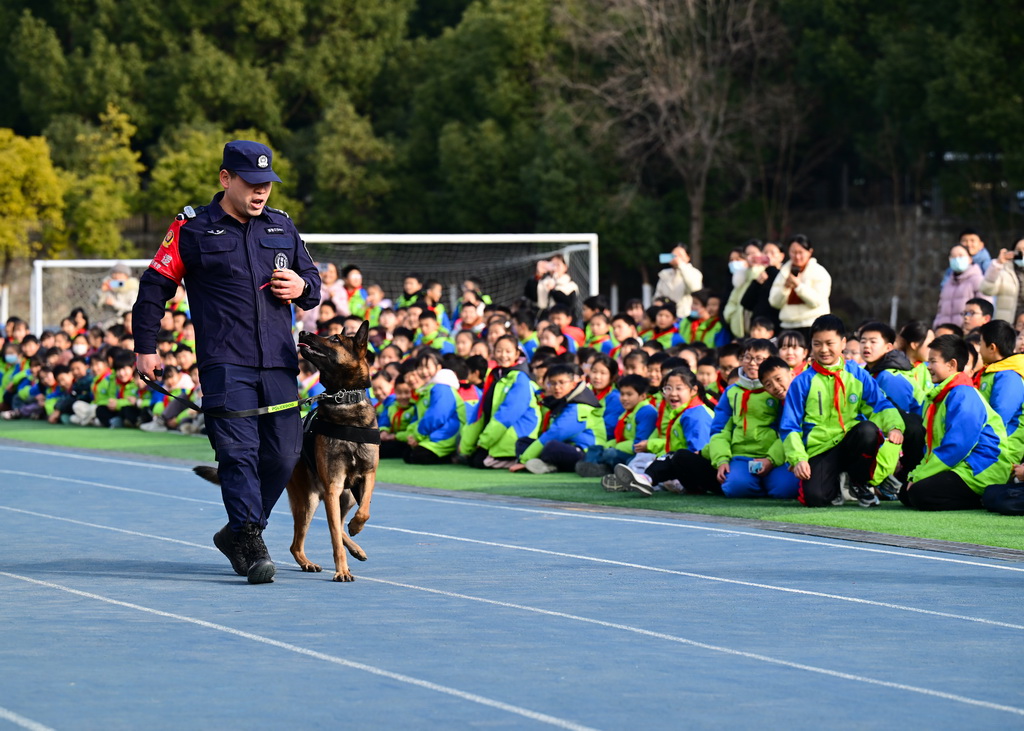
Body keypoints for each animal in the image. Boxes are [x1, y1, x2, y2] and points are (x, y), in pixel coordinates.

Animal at [288, 325, 380, 581]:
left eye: (335, 339)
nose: (303, 333)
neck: (344, 398)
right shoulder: (333, 485)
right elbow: (334, 538)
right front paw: (341, 571)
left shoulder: (368, 474)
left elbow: (365, 511)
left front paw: (357, 526)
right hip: (309, 501)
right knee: (297, 544)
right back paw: (308, 562)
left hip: (348, 496)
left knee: (340, 523)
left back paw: (355, 547)